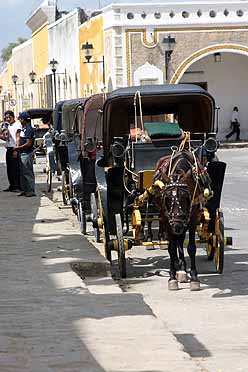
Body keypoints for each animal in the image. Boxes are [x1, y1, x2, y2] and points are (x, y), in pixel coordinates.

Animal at [154, 148, 210, 290]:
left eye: (185, 198)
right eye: (167, 198)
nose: (177, 225)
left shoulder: (192, 217)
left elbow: (191, 247)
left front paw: (194, 277)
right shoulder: (167, 218)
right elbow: (171, 248)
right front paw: (172, 277)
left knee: (180, 239)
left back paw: (182, 268)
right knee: (175, 241)